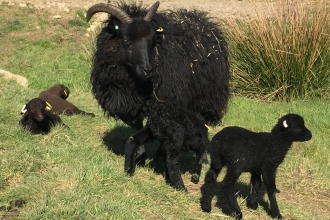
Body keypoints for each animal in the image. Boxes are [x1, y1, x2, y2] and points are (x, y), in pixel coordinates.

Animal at [85, 0, 229, 163]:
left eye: (152, 42)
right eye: (126, 40)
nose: (147, 70)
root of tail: (204, 21)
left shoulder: (163, 101)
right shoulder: (132, 102)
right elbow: (137, 126)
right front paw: (140, 155)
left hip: (204, 97)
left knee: (201, 124)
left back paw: (201, 158)